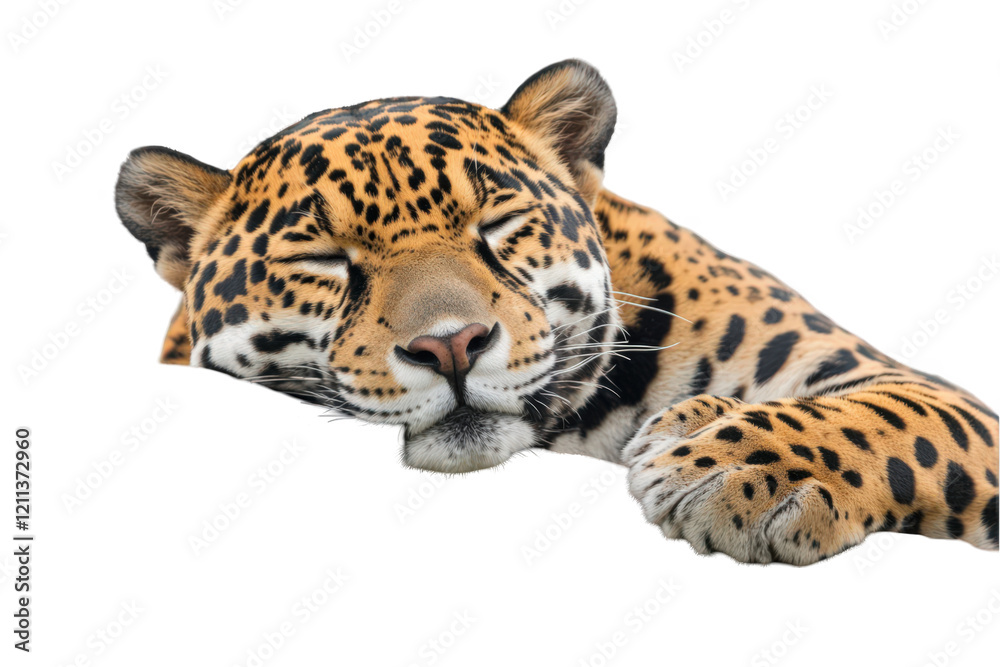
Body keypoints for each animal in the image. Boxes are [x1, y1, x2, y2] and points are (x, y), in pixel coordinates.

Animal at [115, 59, 998, 565]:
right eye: (324, 259)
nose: (452, 345)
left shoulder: (895, 380)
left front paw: (735, 468)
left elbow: (885, 418)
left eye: (498, 224)